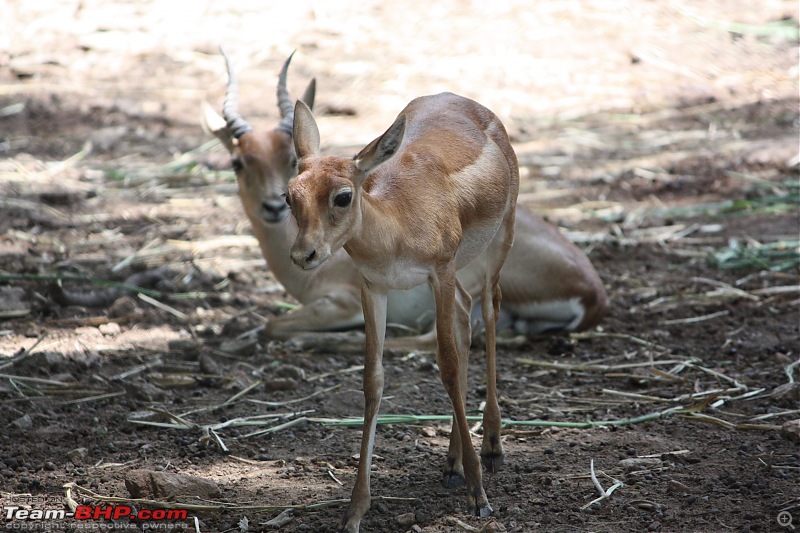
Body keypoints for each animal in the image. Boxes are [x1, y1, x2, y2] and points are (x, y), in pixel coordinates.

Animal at [202, 52, 608, 348]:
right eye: (238, 162)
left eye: (289, 159)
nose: (271, 206)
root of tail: (594, 291)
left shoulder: (343, 301)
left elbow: (270, 325)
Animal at [288, 94, 520, 528]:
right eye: (289, 195)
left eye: (342, 195)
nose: (303, 254)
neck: (396, 228)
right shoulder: (375, 286)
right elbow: (373, 380)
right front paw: (354, 511)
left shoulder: (439, 270)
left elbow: (447, 366)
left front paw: (479, 497)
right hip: (456, 273)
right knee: (465, 313)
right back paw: (452, 464)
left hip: (500, 239)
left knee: (489, 307)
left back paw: (493, 449)